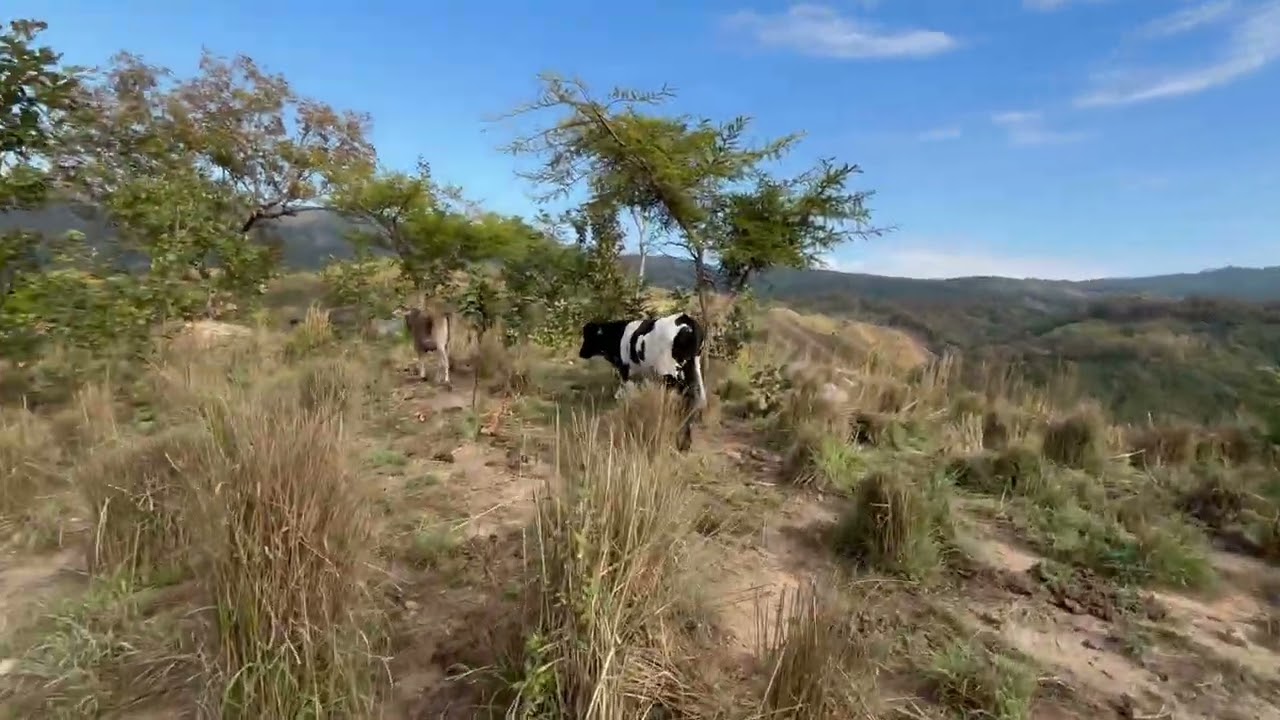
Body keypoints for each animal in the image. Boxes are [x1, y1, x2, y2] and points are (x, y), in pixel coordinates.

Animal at [577, 312, 708, 451]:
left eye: (589, 336)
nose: (581, 353)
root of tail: (685, 318)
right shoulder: (643, 376)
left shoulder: (626, 373)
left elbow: (627, 398)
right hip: (693, 367)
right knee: (696, 398)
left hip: (671, 373)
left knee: (685, 398)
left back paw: (681, 441)